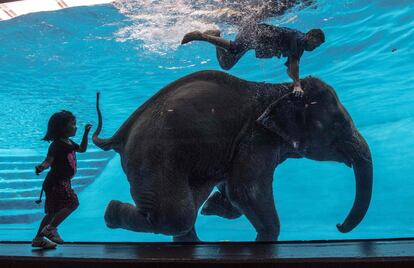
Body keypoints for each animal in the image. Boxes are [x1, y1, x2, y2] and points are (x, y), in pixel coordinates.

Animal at [93, 70, 372, 242]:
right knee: (177, 215)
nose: (338, 226)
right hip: (153, 158)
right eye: (339, 125)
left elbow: (234, 189)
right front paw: (265, 238)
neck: (281, 90)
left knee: (187, 208)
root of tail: (118, 137)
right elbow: (245, 190)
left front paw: (213, 206)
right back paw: (110, 212)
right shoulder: (257, 138)